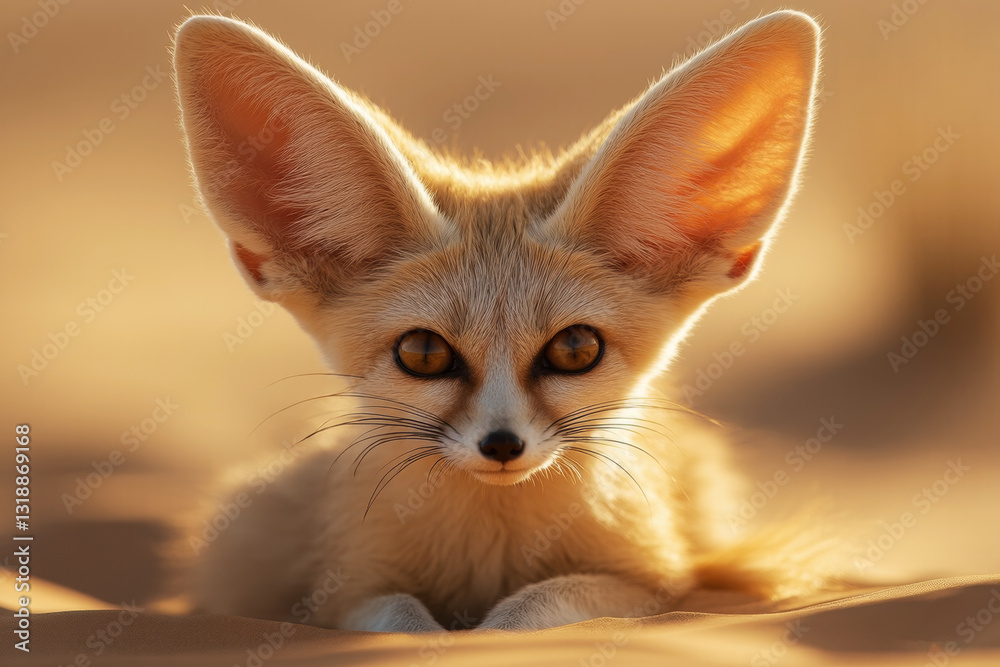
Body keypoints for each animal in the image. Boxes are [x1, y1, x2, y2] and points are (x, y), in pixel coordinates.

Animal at [172, 10, 824, 632]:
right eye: (424, 354)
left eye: (575, 348)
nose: (502, 445)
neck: (494, 545)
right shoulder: (343, 590)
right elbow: (401, 617)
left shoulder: (656, 581)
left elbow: (528, 611)